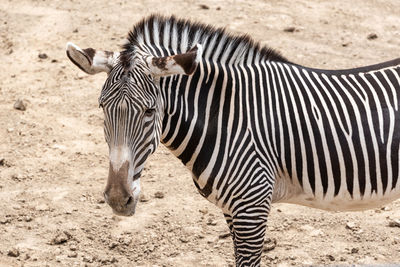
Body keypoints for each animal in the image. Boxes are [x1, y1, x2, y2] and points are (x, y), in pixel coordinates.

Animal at [65, 15, 400, 267]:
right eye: (102, 107)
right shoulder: (232, 209)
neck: (228, 117)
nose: (118, 200)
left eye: (149, 111)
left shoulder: (252, 206)